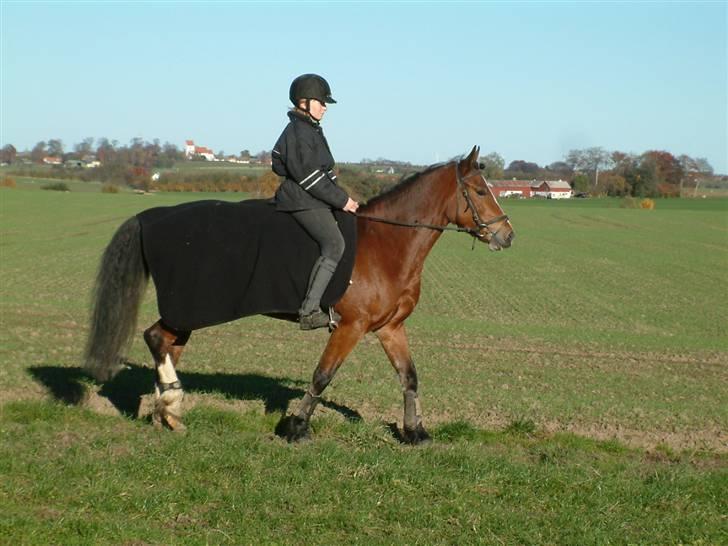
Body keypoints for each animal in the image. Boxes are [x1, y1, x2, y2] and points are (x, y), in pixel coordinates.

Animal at [84, 146, 512, 442]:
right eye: (479, 190)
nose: (507, 235)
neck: (388, 243)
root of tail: (151, 216)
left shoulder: (390, 328)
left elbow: (409, 377)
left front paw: (415, 432)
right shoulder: (351, 327)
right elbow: (323, 375)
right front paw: (297, 427)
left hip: (185, 312)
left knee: (167, 345)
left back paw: (168, 413)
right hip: (188, 307)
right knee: (156, 338)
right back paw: (171, 403)